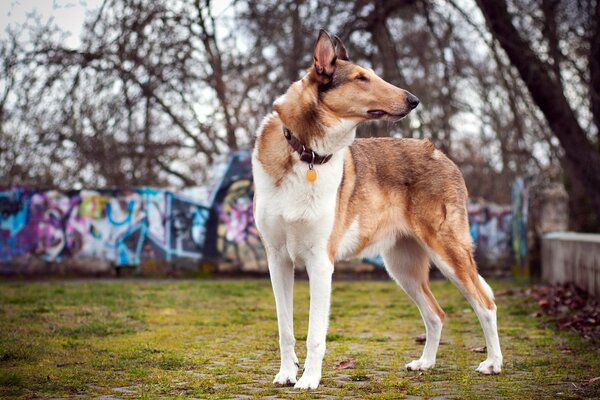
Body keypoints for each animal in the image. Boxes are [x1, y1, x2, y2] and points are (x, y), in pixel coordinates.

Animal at [251, 28, 504, 390]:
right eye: (361, 78)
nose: (413, 100)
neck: (305, 153)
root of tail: (439, 153)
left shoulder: (320, 261)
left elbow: (315, 334)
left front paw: (309, 380)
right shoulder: (278, 260)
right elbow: (285, 328)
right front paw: (287, 374)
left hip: (448, 252)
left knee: (485, 303)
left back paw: (493, 363)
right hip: (402, 266)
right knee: (436, 314)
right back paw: (425, 363)